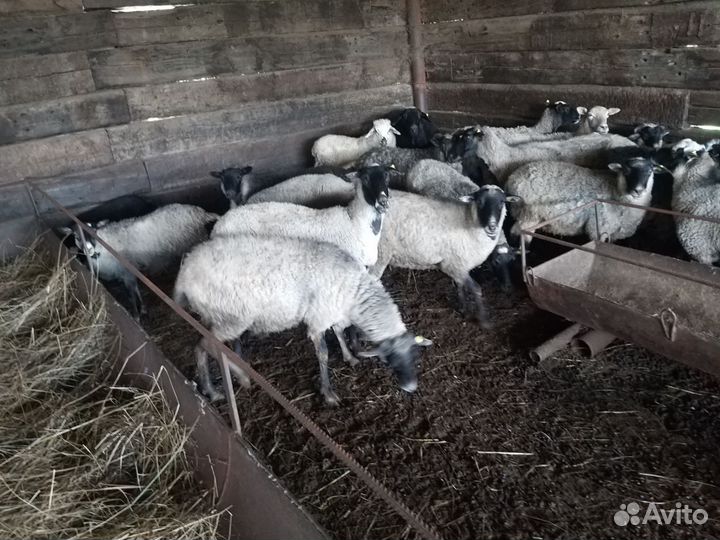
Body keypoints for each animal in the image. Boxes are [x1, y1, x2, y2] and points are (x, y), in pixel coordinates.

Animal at [60, 204, 217, 318]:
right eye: (76, 236)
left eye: (94, 231)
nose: (89, 249)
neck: (103, 245)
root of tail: (200, 212)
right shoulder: (128, 273)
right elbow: (135, 290)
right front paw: (142, 310)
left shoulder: (126, 272)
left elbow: (131, 295)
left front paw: (136, 314)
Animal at [174, 234, 431, 404]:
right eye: (389, 359)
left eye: (415, 355)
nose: (411, 387)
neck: (355, 292)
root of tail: (184, 272)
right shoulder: (318, 319)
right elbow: (324, 353)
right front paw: (328, 393)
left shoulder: (334, 312)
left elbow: (339, 333)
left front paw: (349, 357)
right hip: (233, 317)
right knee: (204, 345)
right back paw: (231, 382)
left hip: (218, 315)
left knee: (207, 346)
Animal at [371, 185, 517, 326]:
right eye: (480, 202)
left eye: (502, 202)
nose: (492, 226)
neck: (468, 220)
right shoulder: (453, 265)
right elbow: (476, 289)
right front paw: (484, 321)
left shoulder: (457, 266)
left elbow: (460, 287)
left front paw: (464, 310)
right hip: (380, 252)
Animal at [506, 157, 656, 244]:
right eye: (626, 171)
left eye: (650, 172)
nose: (638, 190)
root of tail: (512, 178)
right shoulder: (598, 228)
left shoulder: (613, 232)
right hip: (529, 214)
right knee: (518, 235)